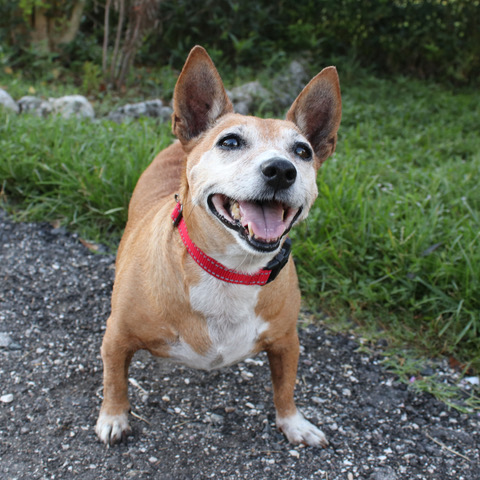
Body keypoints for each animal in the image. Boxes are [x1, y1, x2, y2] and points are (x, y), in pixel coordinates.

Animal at [94, 45, 342, 446]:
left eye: (303, 151)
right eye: (230, 142)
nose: (281, 169)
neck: (231, 270)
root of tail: (180, 143)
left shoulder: (287, 341)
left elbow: (285, 387)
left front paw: (293, 422)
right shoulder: (117, 337)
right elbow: (115, 378)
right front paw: (114, 417)